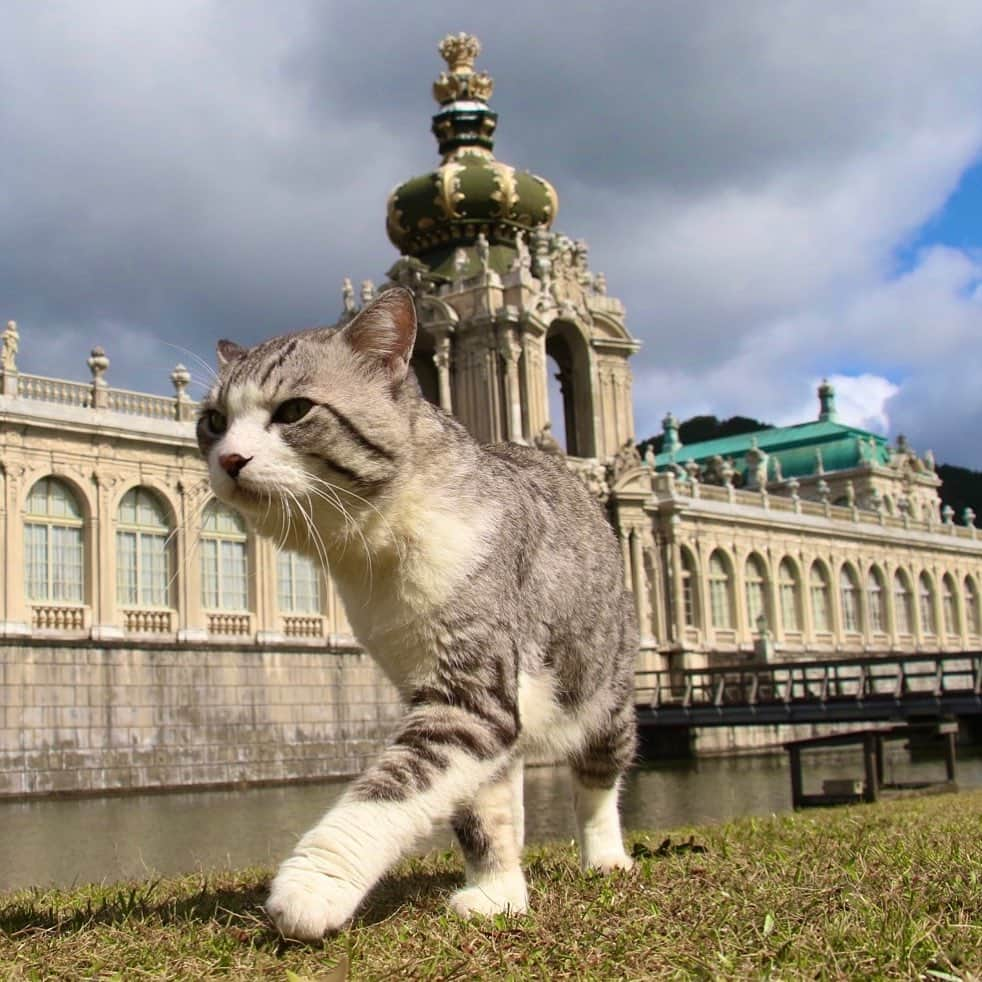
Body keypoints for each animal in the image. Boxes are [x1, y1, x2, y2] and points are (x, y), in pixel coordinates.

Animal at [197, 288, 640, 940]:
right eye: (213, 422)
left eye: (295, 410)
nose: (229, 458)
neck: (378, 546)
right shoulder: (450, 692)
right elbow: (482, 812)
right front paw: (497, 894)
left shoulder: (469, 692)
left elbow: (393, 788)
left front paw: (311, 888)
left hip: (603, 687)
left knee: (599, 780)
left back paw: (607, 857)